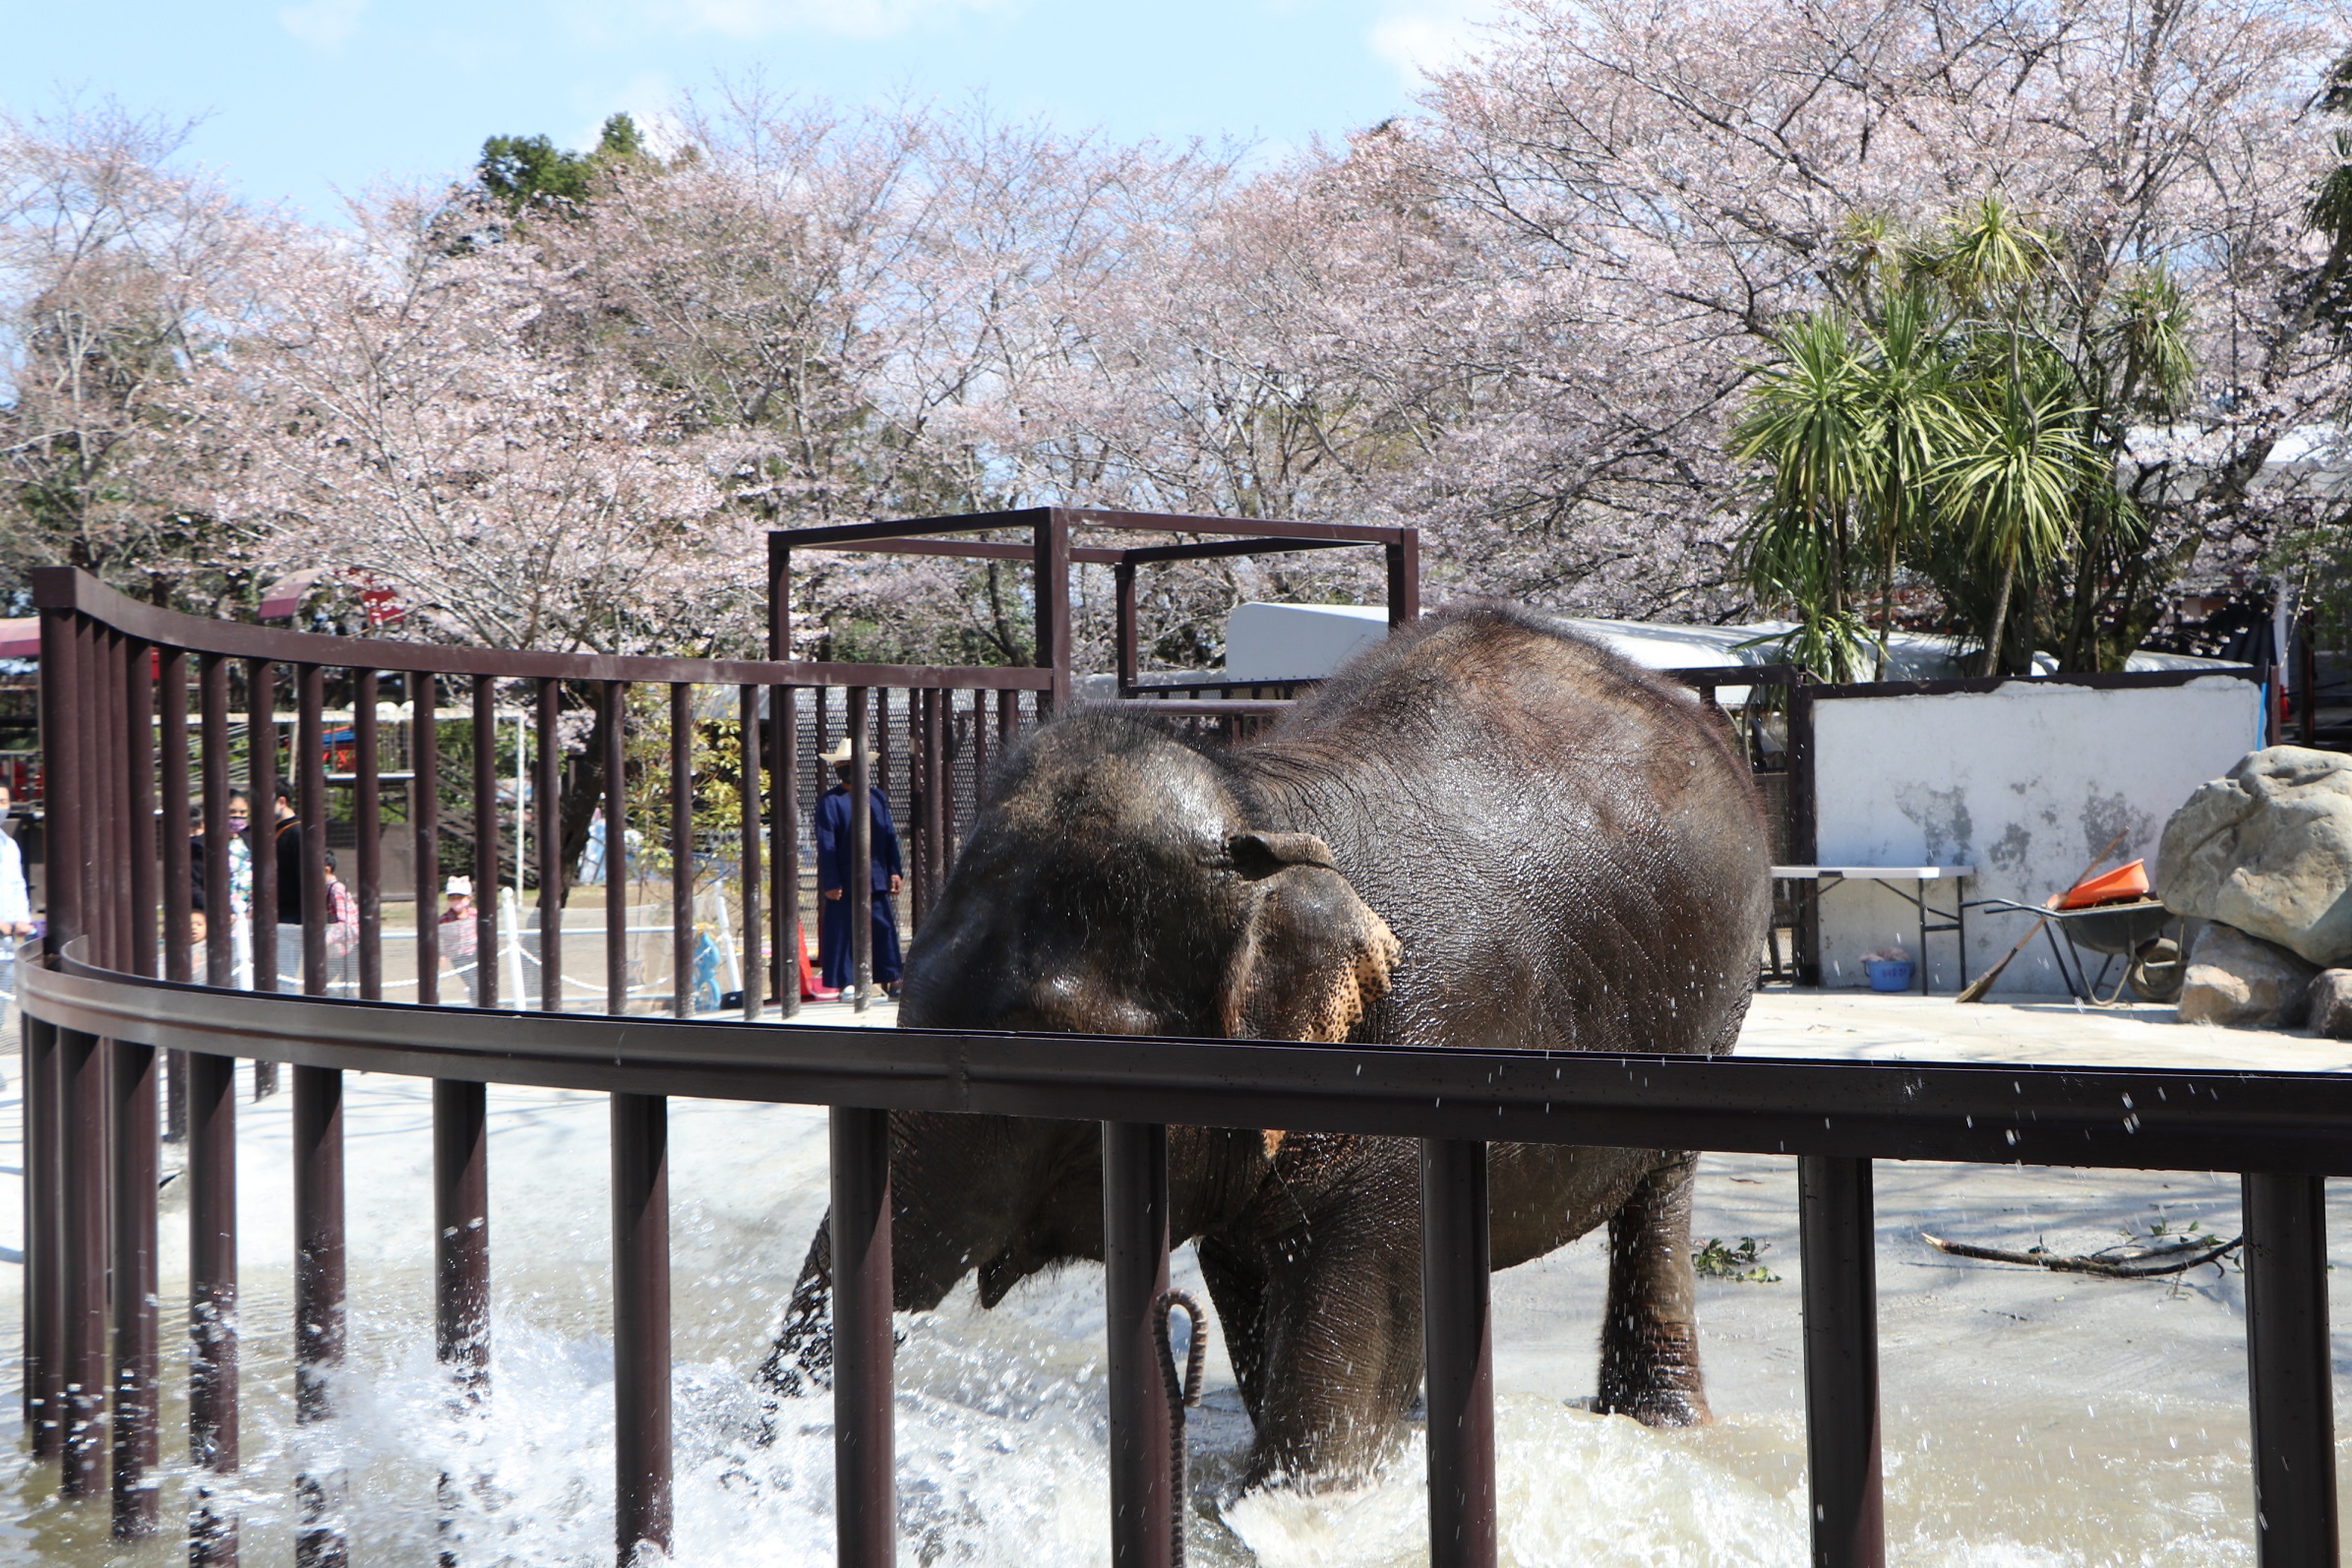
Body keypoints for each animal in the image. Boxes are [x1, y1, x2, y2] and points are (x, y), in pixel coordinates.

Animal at [761, 597, 1769, 1485]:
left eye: (1038, 1047)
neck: (1264, 811)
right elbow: (1251, 1295)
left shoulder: (1412, 1073)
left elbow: (1339, 1370)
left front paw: (1310, 1501)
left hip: (1709, 1012)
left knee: (1659, 1195)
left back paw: (1660, 1422)